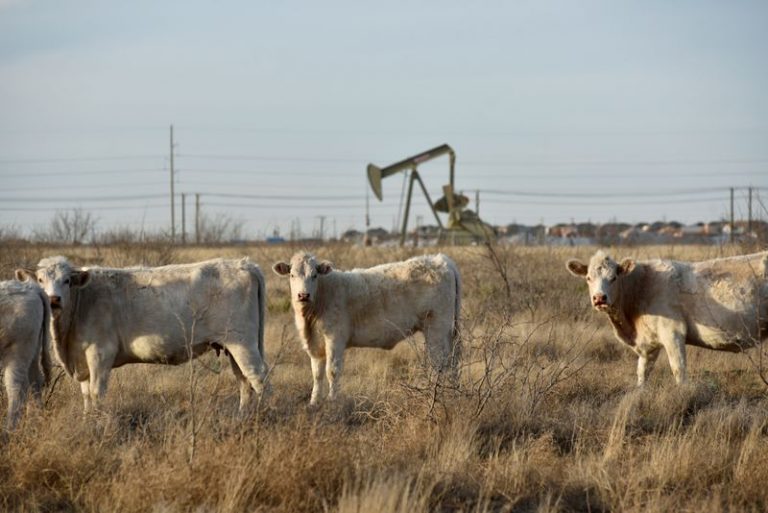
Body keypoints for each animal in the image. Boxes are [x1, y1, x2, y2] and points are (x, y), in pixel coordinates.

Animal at [0, 280, 51, 429]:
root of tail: (33, 289)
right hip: (33, 350)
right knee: (35, 382)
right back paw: (36, 423)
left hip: (16, 353)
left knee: (16, 390)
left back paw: (8, 430)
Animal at [16, 256, 268, 413]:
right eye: (40, 280)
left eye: (67, 281)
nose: (53, 299)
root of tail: (244, 264)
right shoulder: (82, 361)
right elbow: (86, 395)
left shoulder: (100, 354)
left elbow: (96, 394)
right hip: (233, 345)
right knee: (244, 380)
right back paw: (243, 417)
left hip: (242, 342)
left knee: (258, 377)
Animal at [272, 252, 461, 405]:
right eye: (292, 275)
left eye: (314, 275)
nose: (303, 295)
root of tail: (442, 260)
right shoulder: (316, 344)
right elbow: (317, 374)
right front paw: (313, 402)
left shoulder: (335, 339)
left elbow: (332, 371)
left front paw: (332, 402)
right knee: (452, 363)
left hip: (437, 329)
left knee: (440, 364)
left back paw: (437, 396)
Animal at [566, 250, 768, 386]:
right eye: (588, 278)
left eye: (614, 277)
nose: (599, 298)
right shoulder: (648, 344)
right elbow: (642, 374)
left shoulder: (673, 333)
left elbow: (679, 371)